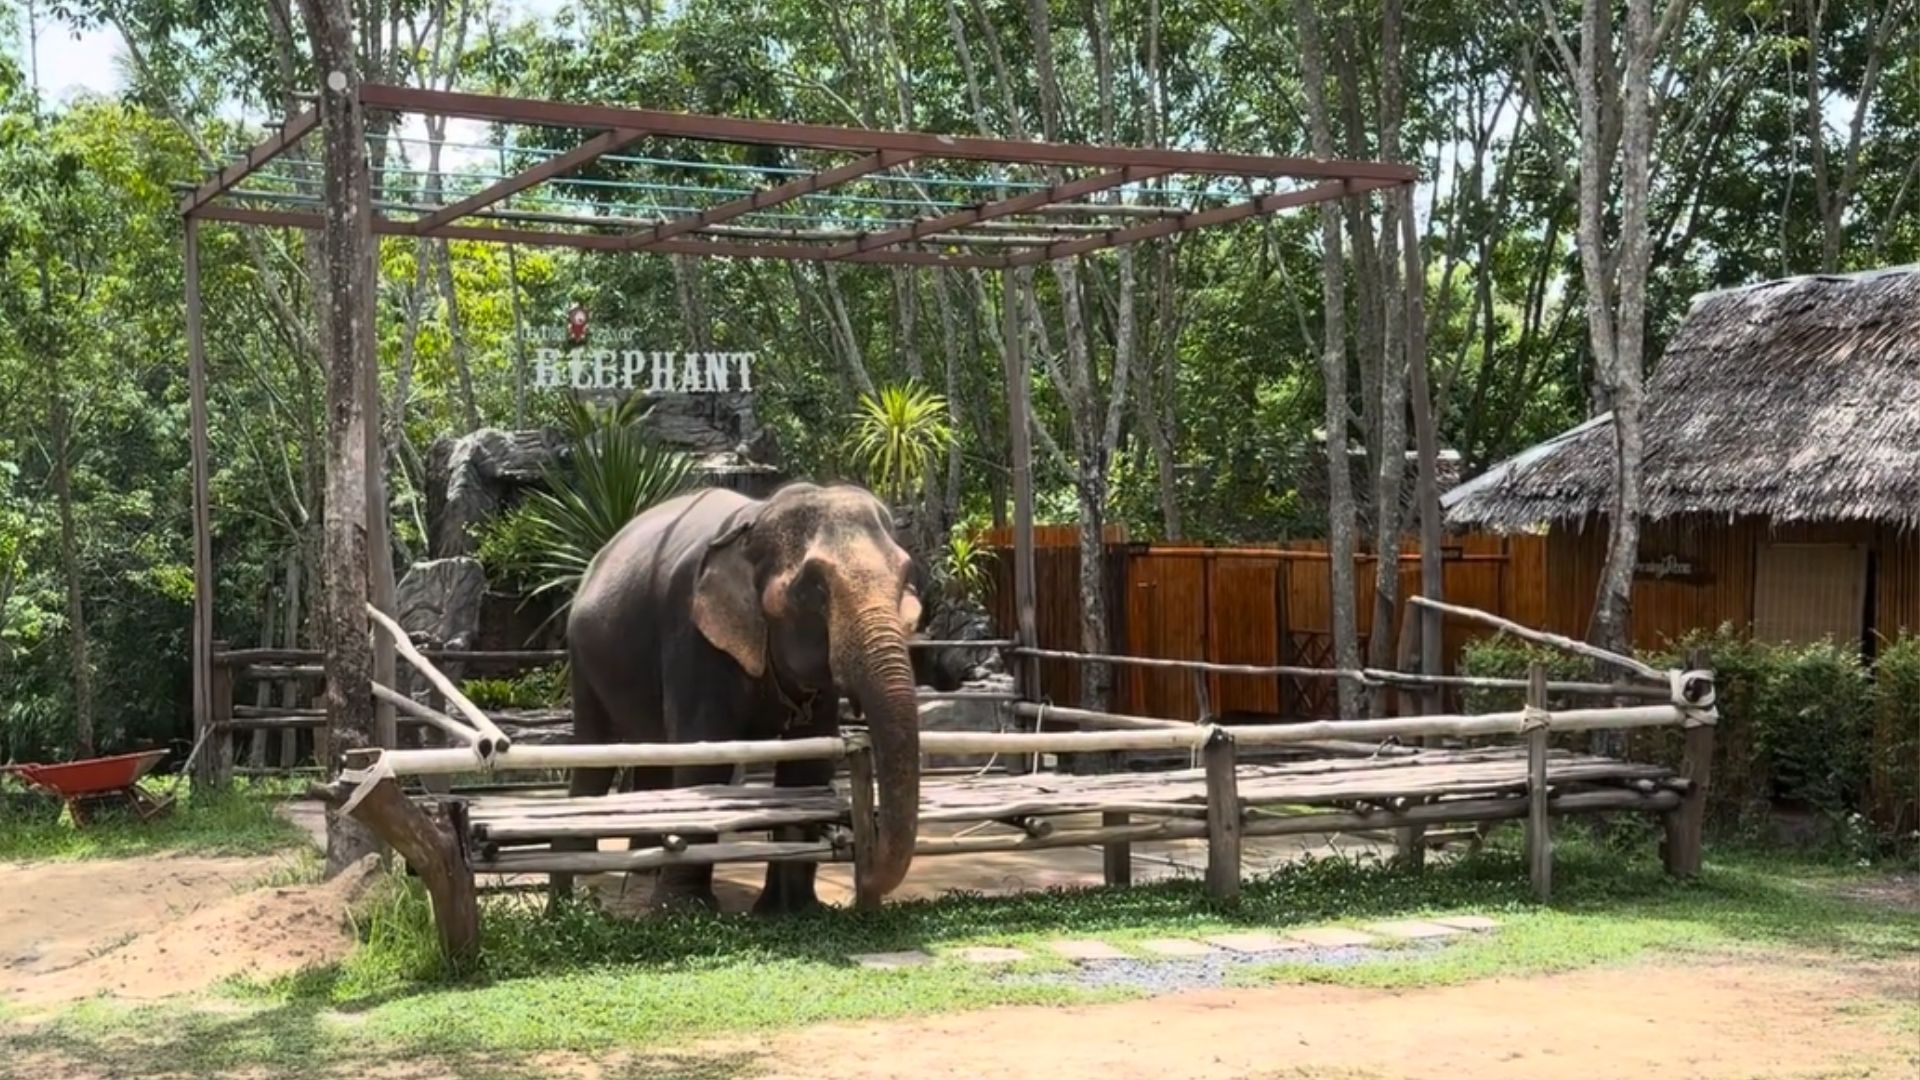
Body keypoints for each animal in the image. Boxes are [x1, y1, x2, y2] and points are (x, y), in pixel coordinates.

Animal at [556, 478, 921, 907]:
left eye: (905, 575)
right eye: (813, 587)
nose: (862, 876)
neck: (754, 521)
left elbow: (809, 766)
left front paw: (793, 909)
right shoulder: (692, 633)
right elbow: (704, 756)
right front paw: (684, 909)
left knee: (654, 753)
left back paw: (645, 868)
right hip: (583, 656)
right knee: (595, 754)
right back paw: (585, 868)